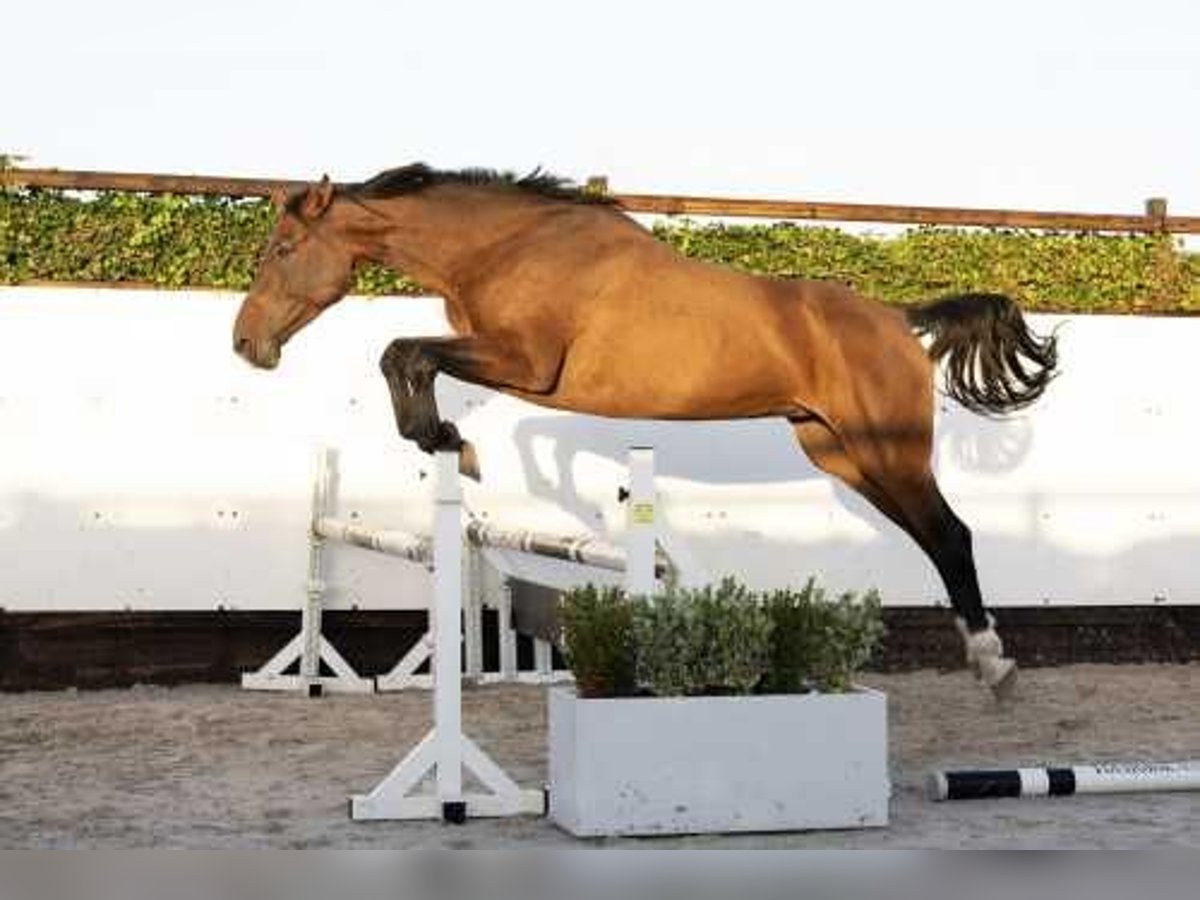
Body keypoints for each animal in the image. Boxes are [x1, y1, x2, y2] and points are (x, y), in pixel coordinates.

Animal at [234, 164, 1060, 696]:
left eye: (283, 250)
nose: (248, 344)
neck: (504, 248)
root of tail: (896, 316)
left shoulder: (525, 361)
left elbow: (403, 350)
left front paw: (444, 440)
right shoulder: (515, 371)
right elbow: (425, 370)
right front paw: (450, 444)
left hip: (888, 451)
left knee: (951, 535)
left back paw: (994, 664)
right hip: (840, 453)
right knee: (933, 536)